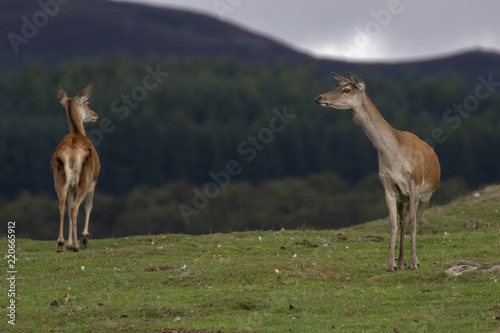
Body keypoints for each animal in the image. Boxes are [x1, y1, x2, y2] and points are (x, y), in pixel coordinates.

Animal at [51, 81, 101, 250]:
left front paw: (69, 242)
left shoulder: (70, 188)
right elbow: (89, 206)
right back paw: (76, 246)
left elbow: (67, 208)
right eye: (87, 103)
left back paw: (61, 243)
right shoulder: (94, 181)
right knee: (75, 207)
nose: (95, 115)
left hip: (59, 180)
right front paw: (83, 238)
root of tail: (72, 156)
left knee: (62, 206)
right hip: (85, 179)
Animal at [314, 72, 440, 270]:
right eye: (337, 87)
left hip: (427, 195)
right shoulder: (388, 187)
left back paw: (412, 261)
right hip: (402, 198)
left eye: (346, 89)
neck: (394, 158)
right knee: (403, 221)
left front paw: (413, 263)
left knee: (414, 222)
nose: (319, 97)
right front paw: (390, 264)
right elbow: (392, 225)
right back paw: (401, 261)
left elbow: (413, 223)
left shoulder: (415, 184)